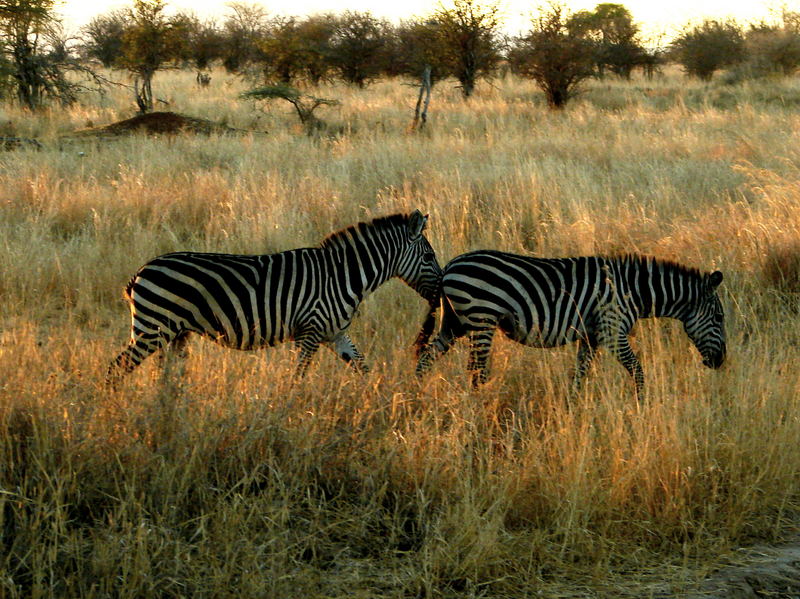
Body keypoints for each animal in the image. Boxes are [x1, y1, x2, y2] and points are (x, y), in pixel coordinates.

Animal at [104, 211, 444, 386]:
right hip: (152, 329)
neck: (344, 275)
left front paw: (379, 398)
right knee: (115, 369)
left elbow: (363, 367)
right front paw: (289, 414)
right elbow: (296, 378)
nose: (441, 292)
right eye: (429, 257)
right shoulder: (310, 332)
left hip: (175, 334)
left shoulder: (335, 334)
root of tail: (141, 271)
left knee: (164, 377)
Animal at [416, 251, 728, 400]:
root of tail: (450, 267)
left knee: (427, 357)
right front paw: (643, 403)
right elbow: (638, 371)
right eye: (719, 318)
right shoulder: (612, 330)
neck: (632, 291)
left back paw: (416, 394)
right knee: (476, 371)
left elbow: (580, 375)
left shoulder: (591, 336)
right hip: (481, 319)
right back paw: (479, 405)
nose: (720, 362)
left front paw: (573, 407)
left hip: (454, 322)